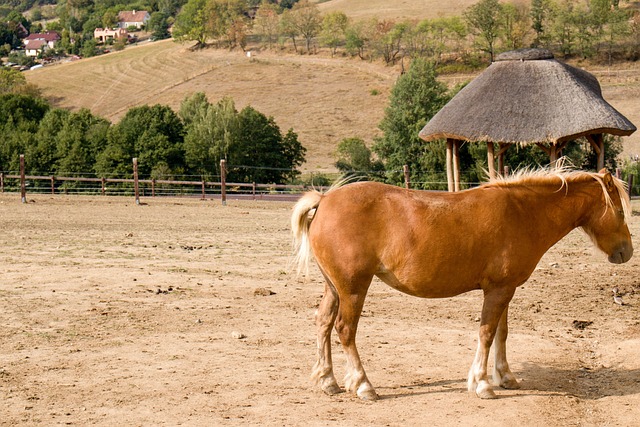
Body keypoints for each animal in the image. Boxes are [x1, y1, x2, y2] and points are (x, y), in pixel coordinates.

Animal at [292, 170, 632, 402]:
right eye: (618, 211)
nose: (626, 252)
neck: (523, 213)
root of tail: (325, 200)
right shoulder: (497, 290)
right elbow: (486, 333)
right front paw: (482, 383)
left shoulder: (504, 289)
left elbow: (501, 334)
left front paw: (505, 376)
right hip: (353, 288)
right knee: (344, 330)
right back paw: (363, 385)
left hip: (334, 287)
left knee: (323, 323)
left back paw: (328, 380)